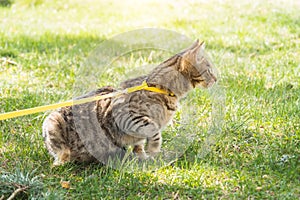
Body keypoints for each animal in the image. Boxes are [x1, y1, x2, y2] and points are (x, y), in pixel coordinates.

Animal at [42, 39, 217, 166]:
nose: (216, 79)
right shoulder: (128, 117)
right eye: (209, 70)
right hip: (53, 122)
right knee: (61, 154)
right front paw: (153, 150)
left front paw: (143, 156)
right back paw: (65, 161)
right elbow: (154, 130)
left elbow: (139, 144)